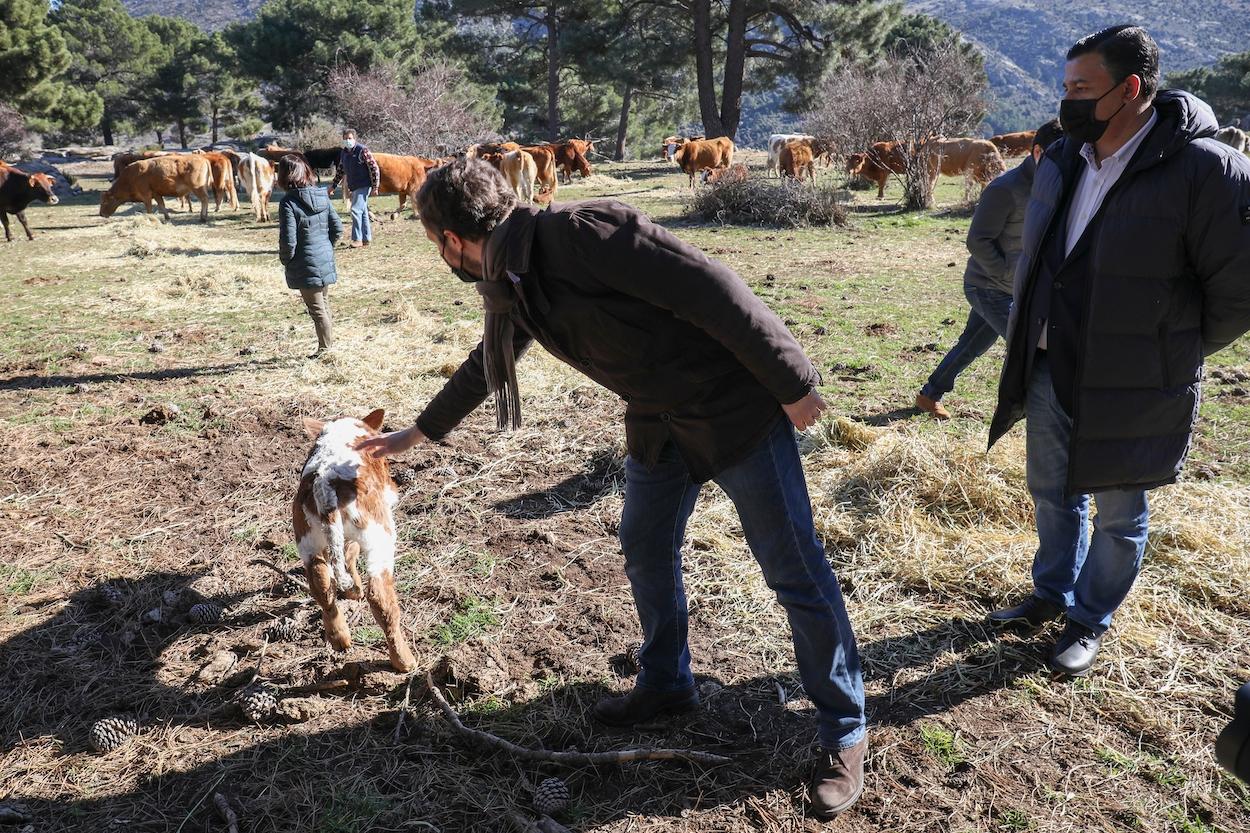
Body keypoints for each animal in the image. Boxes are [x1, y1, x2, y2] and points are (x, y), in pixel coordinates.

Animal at [292, 407, 415, 670]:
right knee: (378, 595)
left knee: (322, 583)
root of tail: (325, 483)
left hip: (306, 538)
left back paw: (340, 638)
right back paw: (404, 660)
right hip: (379, 534)